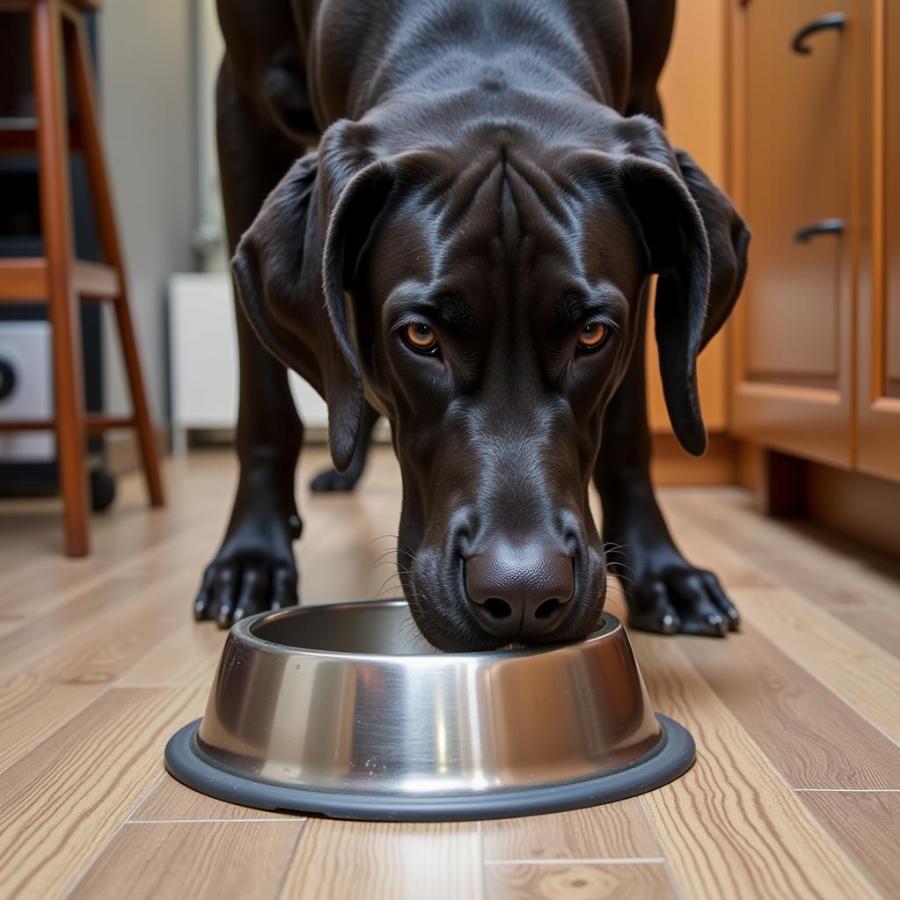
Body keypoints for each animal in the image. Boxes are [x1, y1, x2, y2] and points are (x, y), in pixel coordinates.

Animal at [193, 0, 748, 652]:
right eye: (420, 336)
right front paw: (251, 557)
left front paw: (662, 569)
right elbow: (263, 398)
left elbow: (630, 418)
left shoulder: (646, 98)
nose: (524, 595)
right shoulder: (240, 102)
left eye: (592, 335)